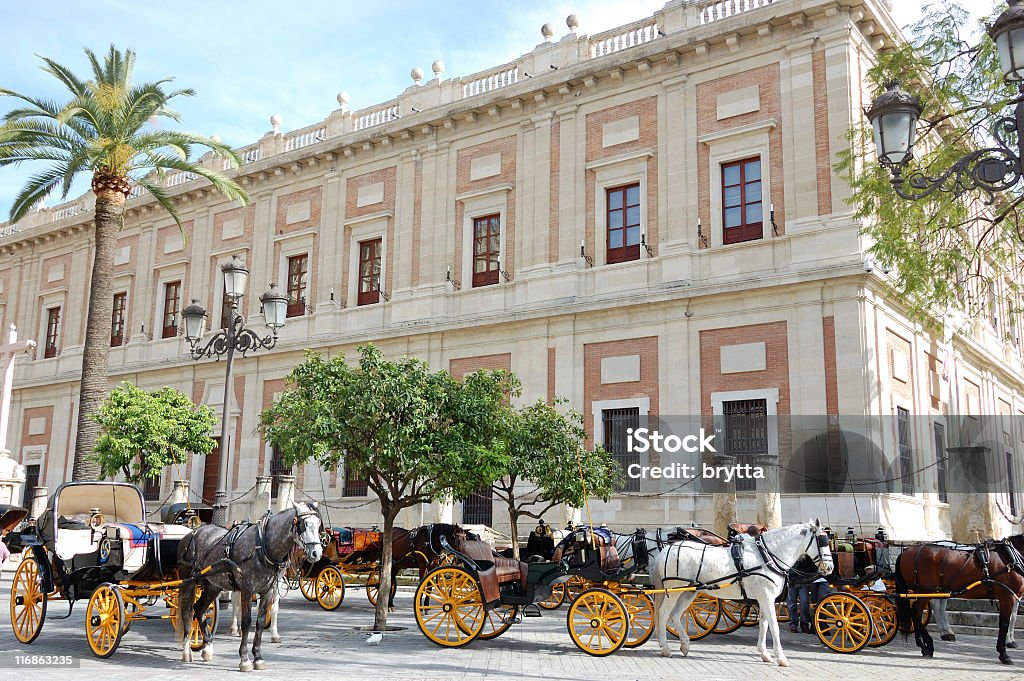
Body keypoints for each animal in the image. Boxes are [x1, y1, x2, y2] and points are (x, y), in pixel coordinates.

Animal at [175, 501, 319, 671]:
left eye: (319, 525)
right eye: (305, 524)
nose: (317, 553)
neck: (263, 546)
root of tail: (192, 532)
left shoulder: (268, 591)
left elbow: (260, 622)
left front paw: (258, 657)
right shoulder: (247, 590)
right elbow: (246, 622)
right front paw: (244, 659)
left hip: (213, 585)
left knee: (199, 608)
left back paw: (208, 648)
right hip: (188, 582)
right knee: (187, 612)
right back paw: (186, 651)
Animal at [655, 520, 831, 663]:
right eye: (823, 541)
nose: (830, 567)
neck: (767, 556)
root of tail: (667, 549)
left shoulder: (764, 598)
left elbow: (764, 624)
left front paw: (764, 653)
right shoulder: (767, 597)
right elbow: (774, 626)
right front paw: (781, 657)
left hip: (688, 592)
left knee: (675, 614)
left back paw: (684, 644)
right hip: (674, 590)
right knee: (663, 613)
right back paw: (665, 648)